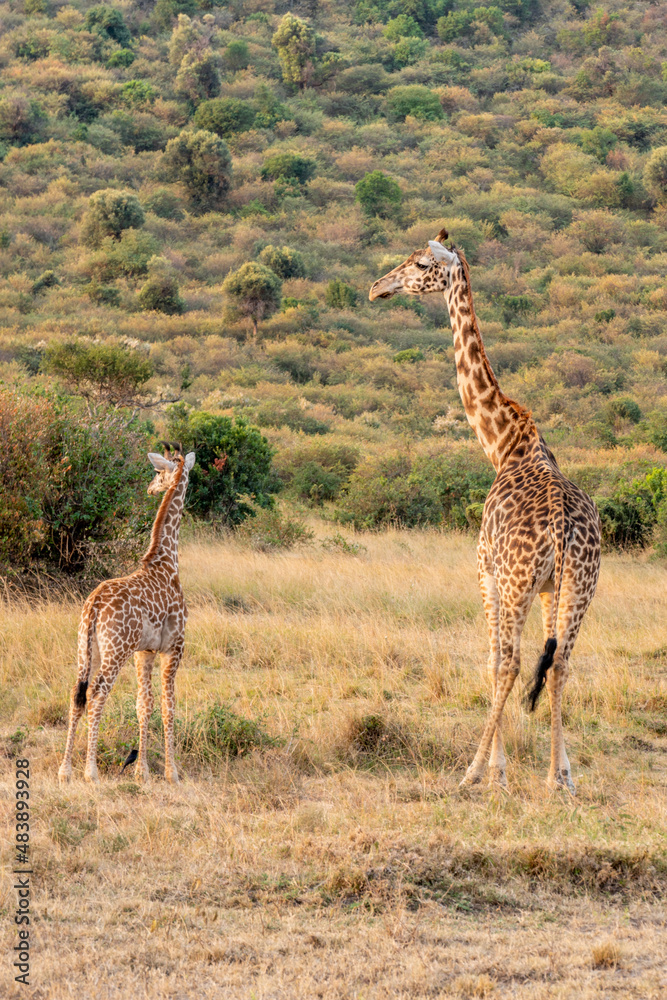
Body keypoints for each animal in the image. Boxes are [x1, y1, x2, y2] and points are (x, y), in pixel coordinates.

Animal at [58, 445, 195, 785]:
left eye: (157, 473)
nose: (150, 488)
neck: (166, 562)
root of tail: (93, 604)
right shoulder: (174, 647)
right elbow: (168, 705)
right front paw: (172, 773)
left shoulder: (143, 651)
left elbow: (143, 704)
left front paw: (142, 772)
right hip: (115, 651)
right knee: (96, 694)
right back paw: (90, 771)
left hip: (87, 648)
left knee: (77, 693)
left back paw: (65, 770)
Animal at [369, 229, 601, 792]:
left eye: (420, 264)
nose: (377, 287)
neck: (503, 444)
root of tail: (561, 526)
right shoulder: (548, 589)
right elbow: (541, 663)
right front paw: (554, 769)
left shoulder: (485, 572)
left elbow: (494, 662)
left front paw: (493, 769)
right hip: (580, 587)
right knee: (560, 661)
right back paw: (558, 777)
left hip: (517, 583)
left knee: (514, 662)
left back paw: (471, 770)